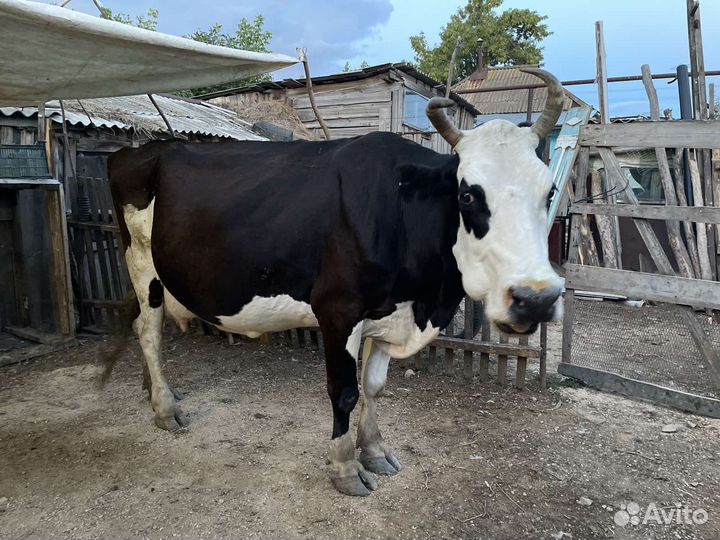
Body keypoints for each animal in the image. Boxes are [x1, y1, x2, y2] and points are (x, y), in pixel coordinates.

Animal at [107, 68, 565, 497]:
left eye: (549, 191)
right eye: (467, 195)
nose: (536, 299)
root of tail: (137, 150)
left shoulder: (389, 313)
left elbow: (375, 386)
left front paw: (375, 451)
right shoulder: (338, 309)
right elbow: (345, 390)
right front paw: (346, 469)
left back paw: (153, 391)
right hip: (143, 266)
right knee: (148, 332)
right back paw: (165, 409)